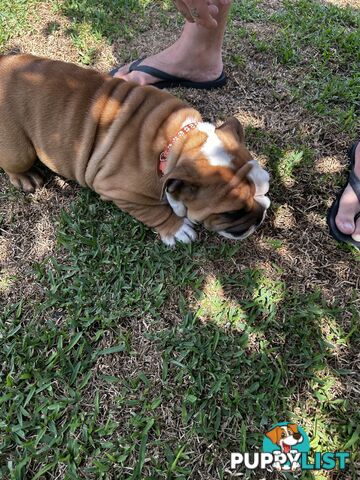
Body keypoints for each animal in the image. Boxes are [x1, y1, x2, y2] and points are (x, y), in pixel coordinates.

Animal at [0, 54, 270, 246]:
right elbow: (153, 210)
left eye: (266, 187)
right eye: (232, 213)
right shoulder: (118, 190)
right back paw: (26, 178)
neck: (176, 143)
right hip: (19, 152)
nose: (260, 216)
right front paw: (177, 228)